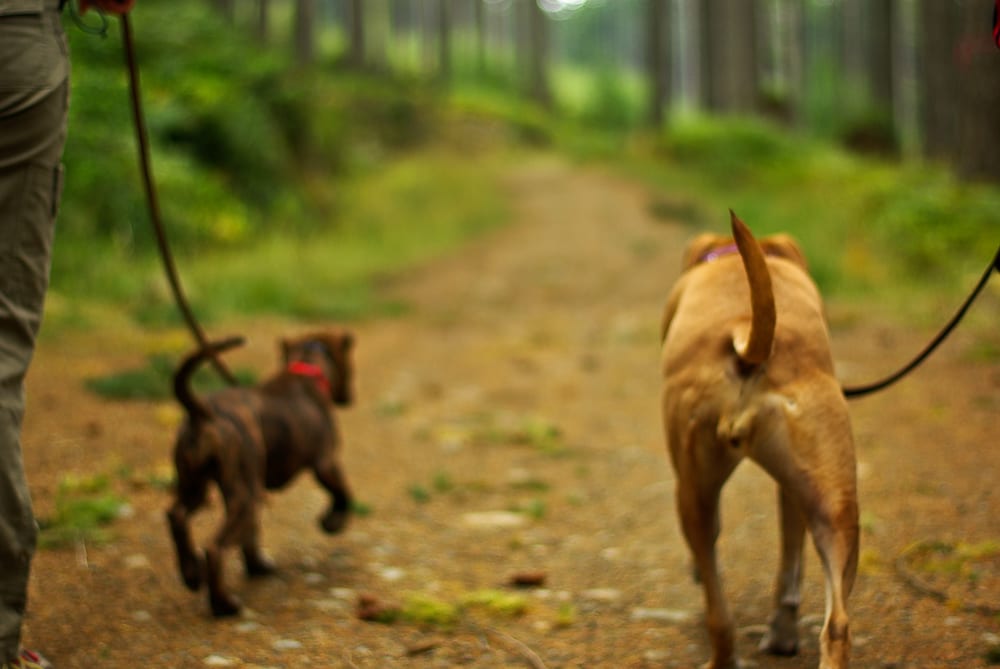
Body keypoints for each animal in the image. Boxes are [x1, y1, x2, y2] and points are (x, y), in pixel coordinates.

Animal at [163, 328, 352, 616]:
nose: (349, 397)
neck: (306, 366)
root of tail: (202, 413)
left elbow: (251, 534)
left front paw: (257, 566)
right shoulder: (326, 463)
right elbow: (344, 494)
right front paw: (332, 522)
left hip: (197, 484)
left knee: (177, 516)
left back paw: (192, 573)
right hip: (244, 496)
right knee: (215, 548)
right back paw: (223, 604)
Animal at [656, 214, 860, 668]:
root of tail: (746, 341)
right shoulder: (792, 492)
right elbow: (790, 566)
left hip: (690, 491)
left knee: (719, 613)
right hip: (833, 503)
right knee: (837, 623)